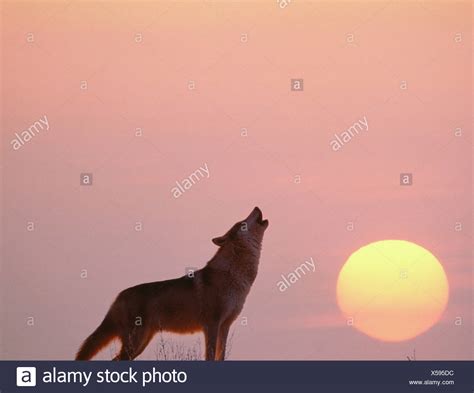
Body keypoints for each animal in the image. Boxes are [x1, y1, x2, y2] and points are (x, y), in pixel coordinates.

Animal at [74, 207, 266, 360]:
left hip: (140, 344)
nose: (256, 207)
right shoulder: (211, 324)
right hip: (135, 343)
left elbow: (221, 356)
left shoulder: (225, 326)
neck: (234, 275)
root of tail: (119, 296)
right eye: (242, 223)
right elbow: (210, 356)